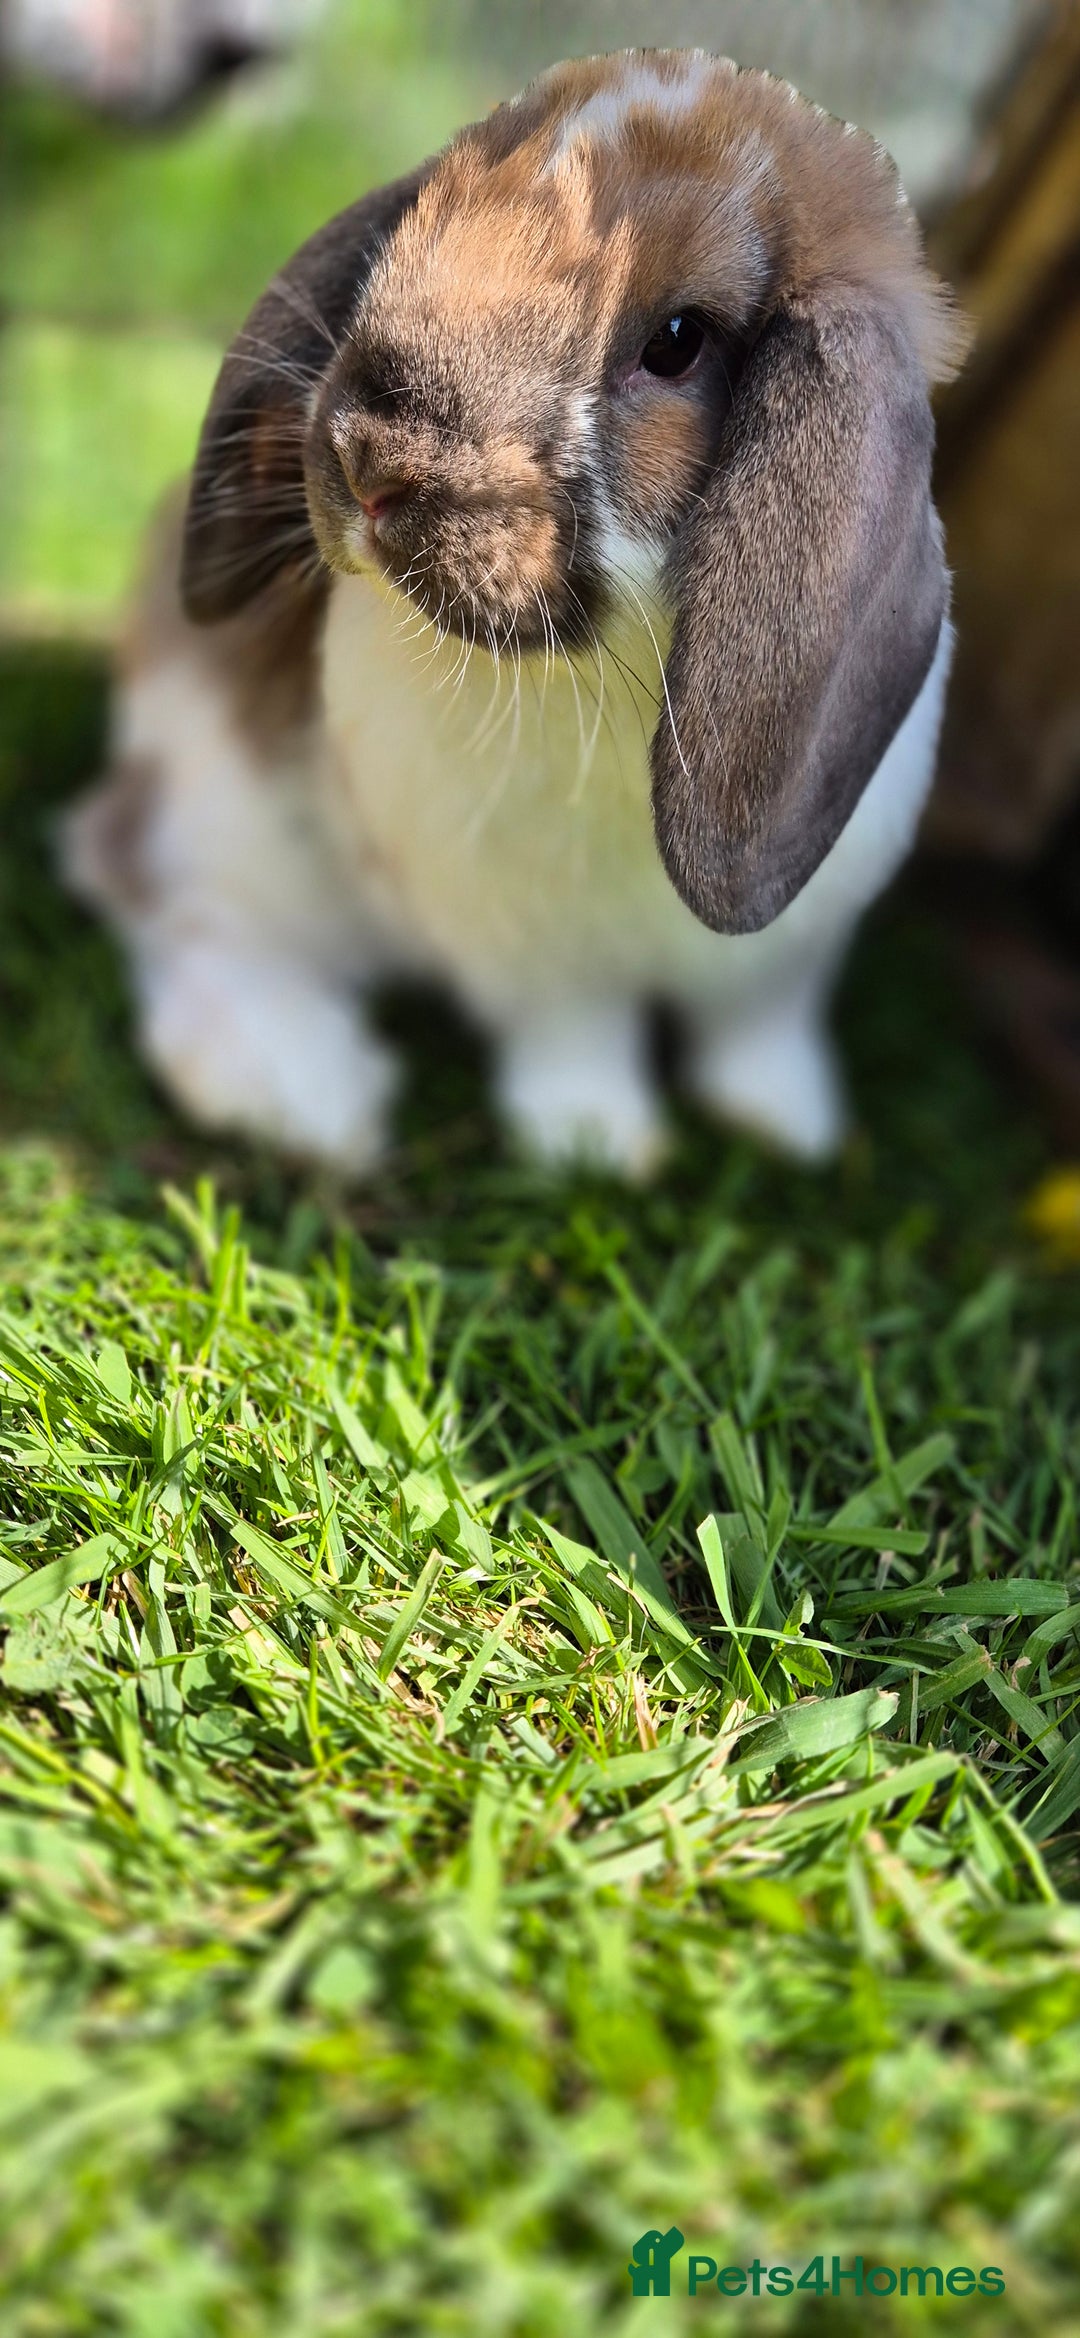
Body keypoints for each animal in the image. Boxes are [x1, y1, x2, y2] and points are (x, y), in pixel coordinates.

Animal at [64, 47, 969, 1177]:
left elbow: (760, 1026)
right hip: (232, 818)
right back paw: (309, 1091)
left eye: (678, 341)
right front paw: (600, 1150)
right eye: (408, 233)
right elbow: (572, 1031)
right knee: (154, 887)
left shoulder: (792, 948)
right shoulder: (526, 943)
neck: (619, 657)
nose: (370, 457)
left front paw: (786, 1125)